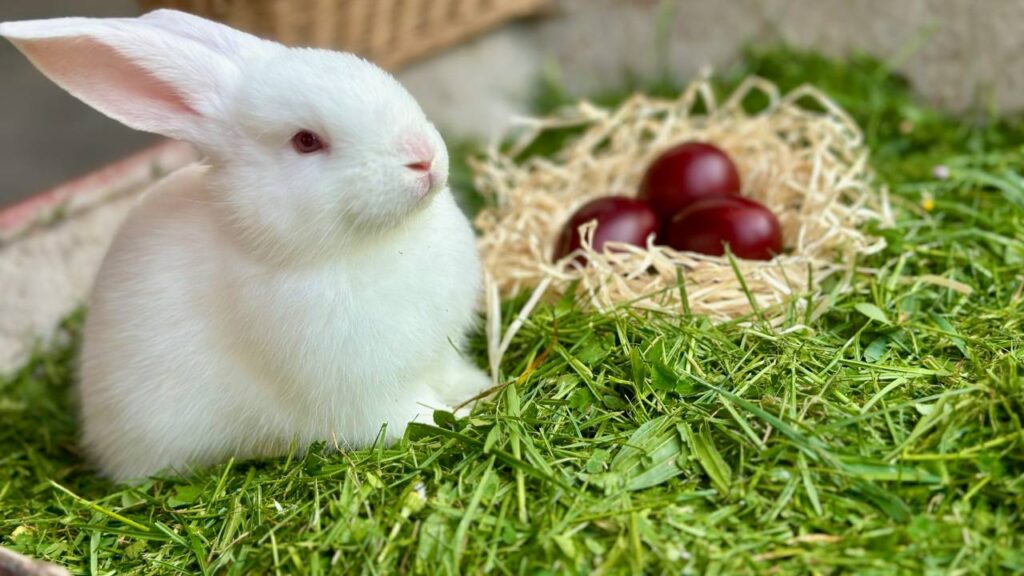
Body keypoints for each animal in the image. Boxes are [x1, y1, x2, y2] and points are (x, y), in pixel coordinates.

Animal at [0, 9, 491, 482]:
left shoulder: (438, 357)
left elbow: (454, 375)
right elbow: (408, 416)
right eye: (306, 141)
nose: (423, 157)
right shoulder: (364, 395)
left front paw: (480, 388)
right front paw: (461, 415)